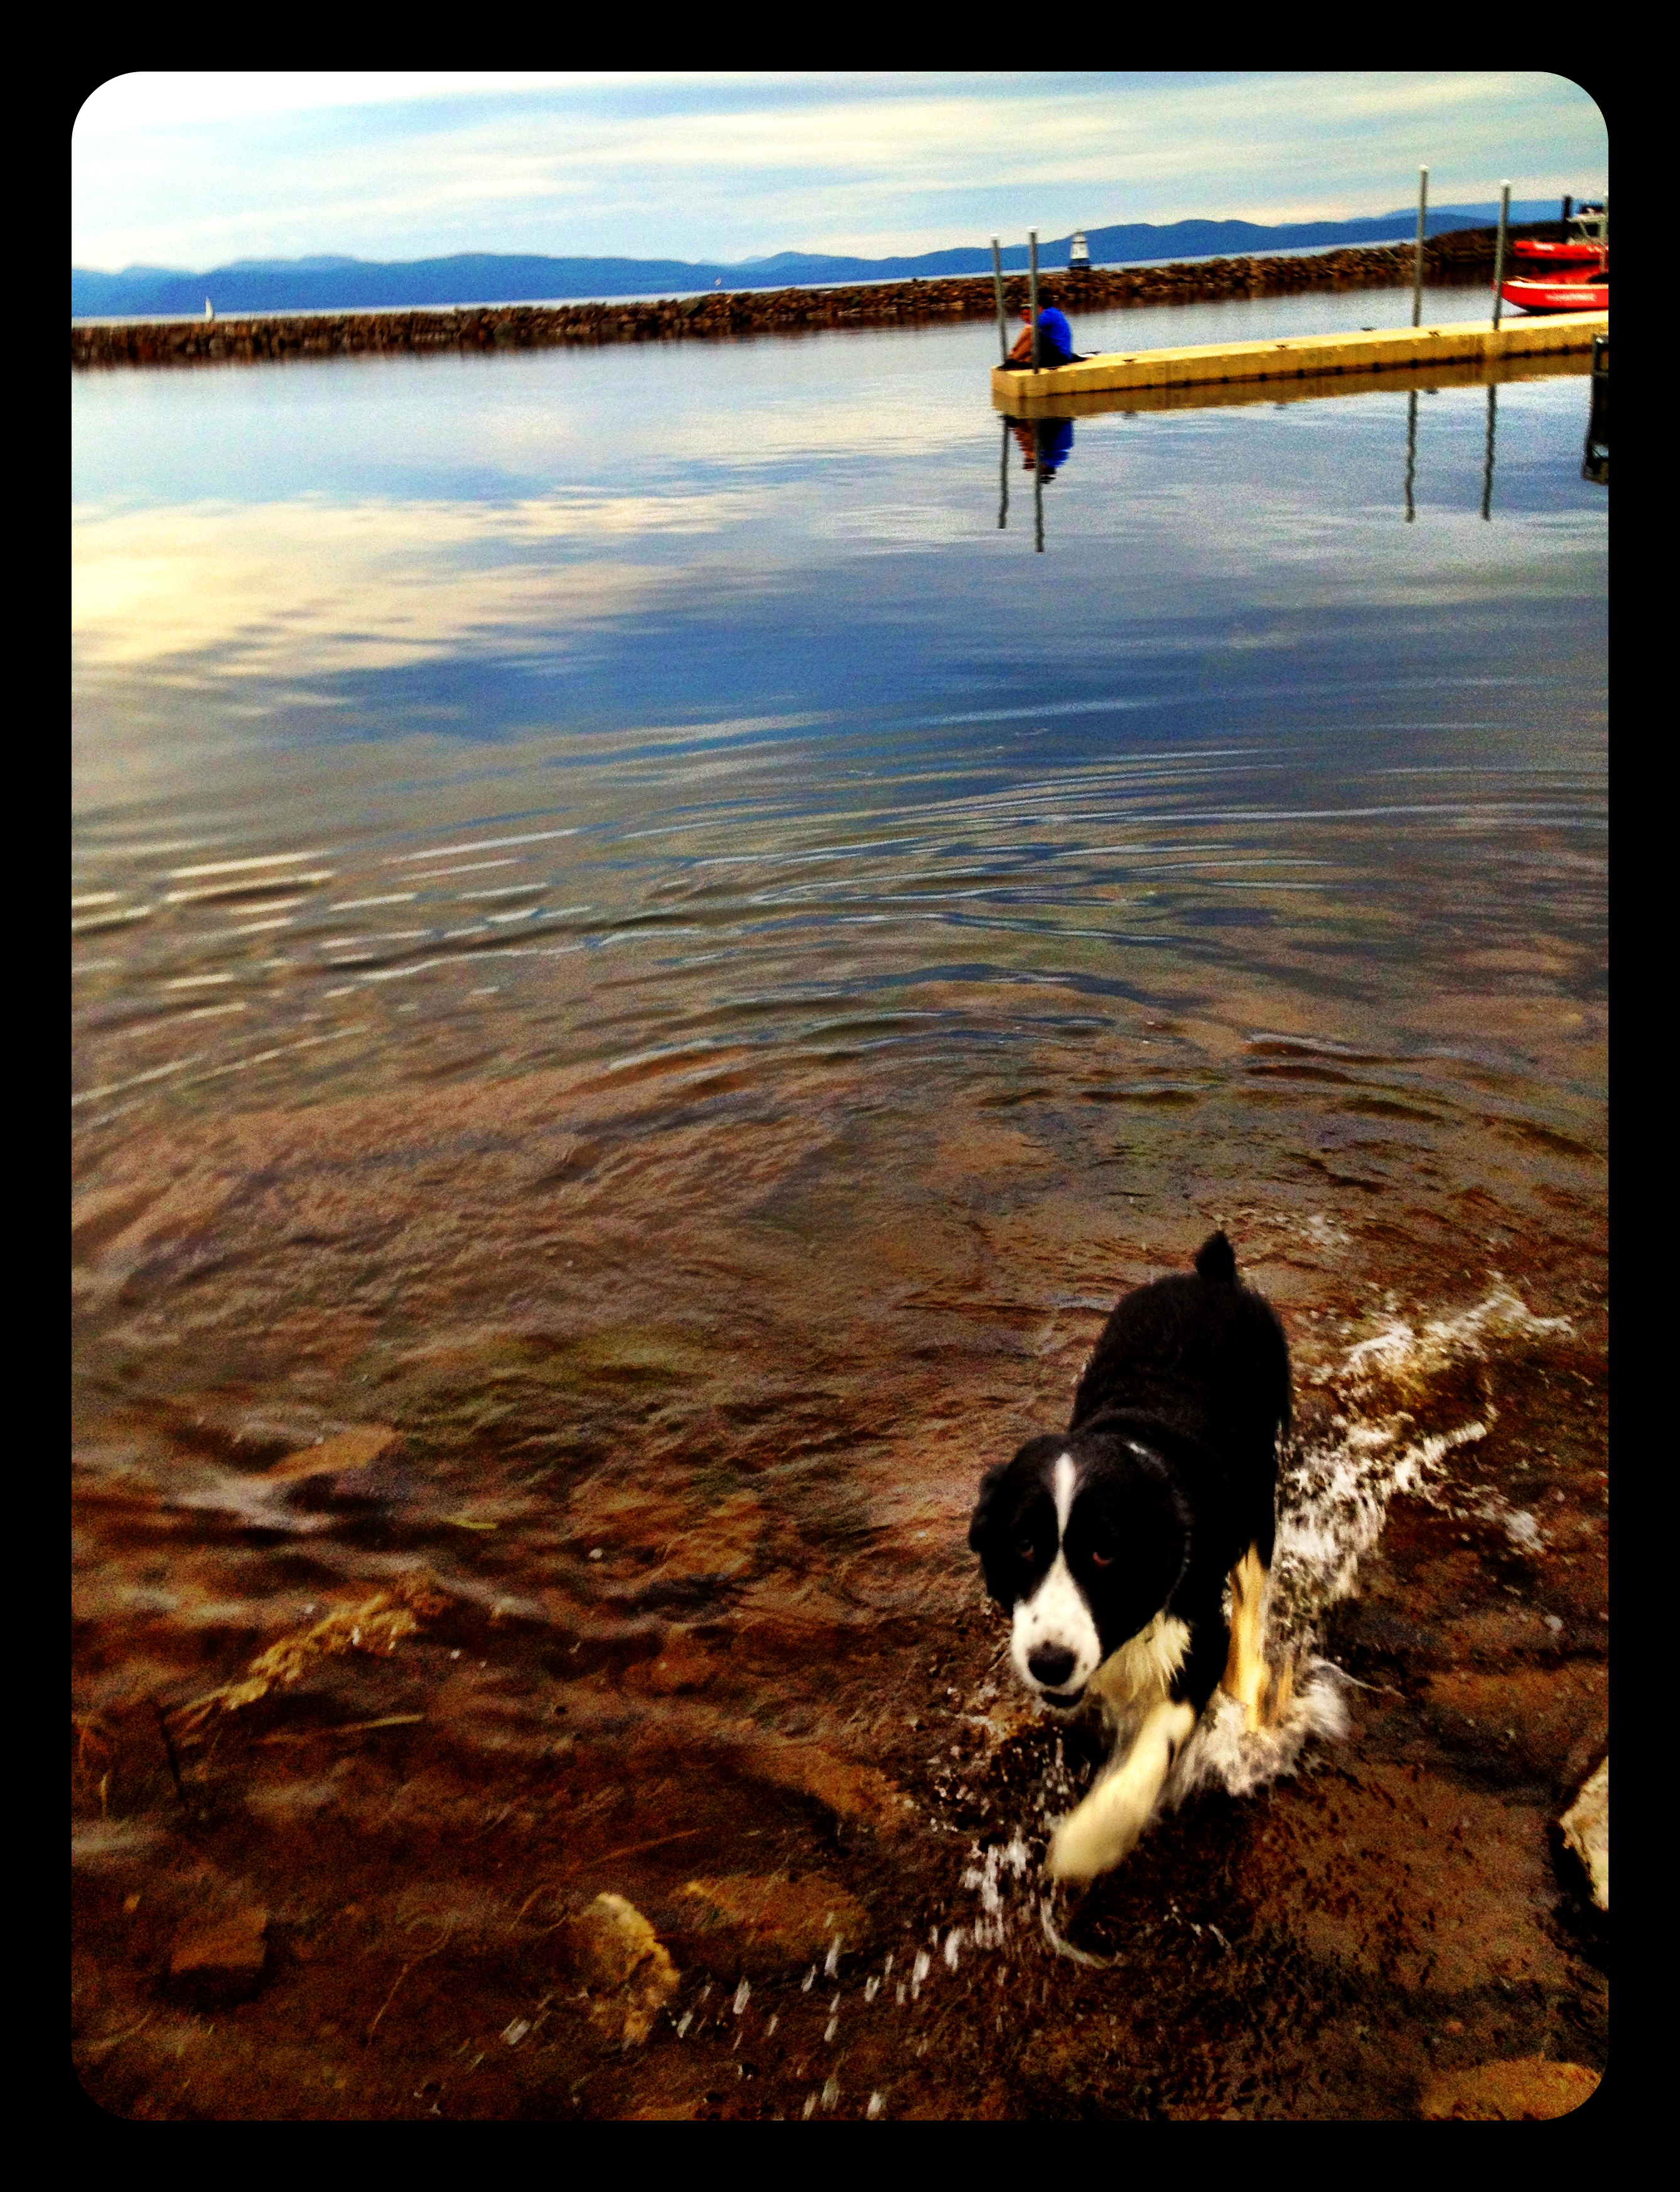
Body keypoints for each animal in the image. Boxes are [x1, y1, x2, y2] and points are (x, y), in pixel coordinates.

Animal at [968, 1231, 1290, 1884]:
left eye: (1103, 1553)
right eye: (1024, 1544)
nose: (1050, 1663)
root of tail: (1213, 1276)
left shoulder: (1201, 1635)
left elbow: (1156, 1744)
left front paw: (1089, 1840)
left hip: (1258, 1499)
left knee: (1251, 1598)